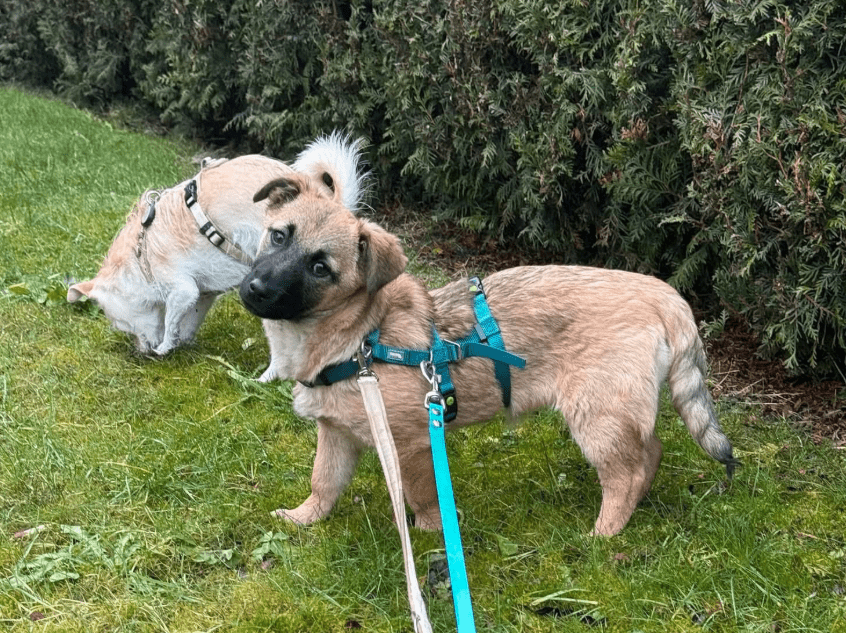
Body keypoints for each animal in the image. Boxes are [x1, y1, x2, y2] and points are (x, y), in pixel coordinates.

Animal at [68, 133, 366, 366]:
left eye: (122, 325)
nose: (142, 352)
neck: (142, 256)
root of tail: (332, 202)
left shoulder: (181, 290)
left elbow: (171, 321)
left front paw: (165, 347)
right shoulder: (202, 293)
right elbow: (189, 323)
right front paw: (182, 343)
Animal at [240, 174, 744, 540]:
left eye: (320, 268)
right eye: (278, 237)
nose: (255, 290)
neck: (362, 336)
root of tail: (665, 295)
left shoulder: (412, 444)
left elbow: (422, 497)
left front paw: (433, 536)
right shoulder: (336, 434)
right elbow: (323, 482)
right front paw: (304, 518)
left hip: (597, 416)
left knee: (627, 474)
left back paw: (604, 535)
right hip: (616, 414)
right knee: (650, 452)